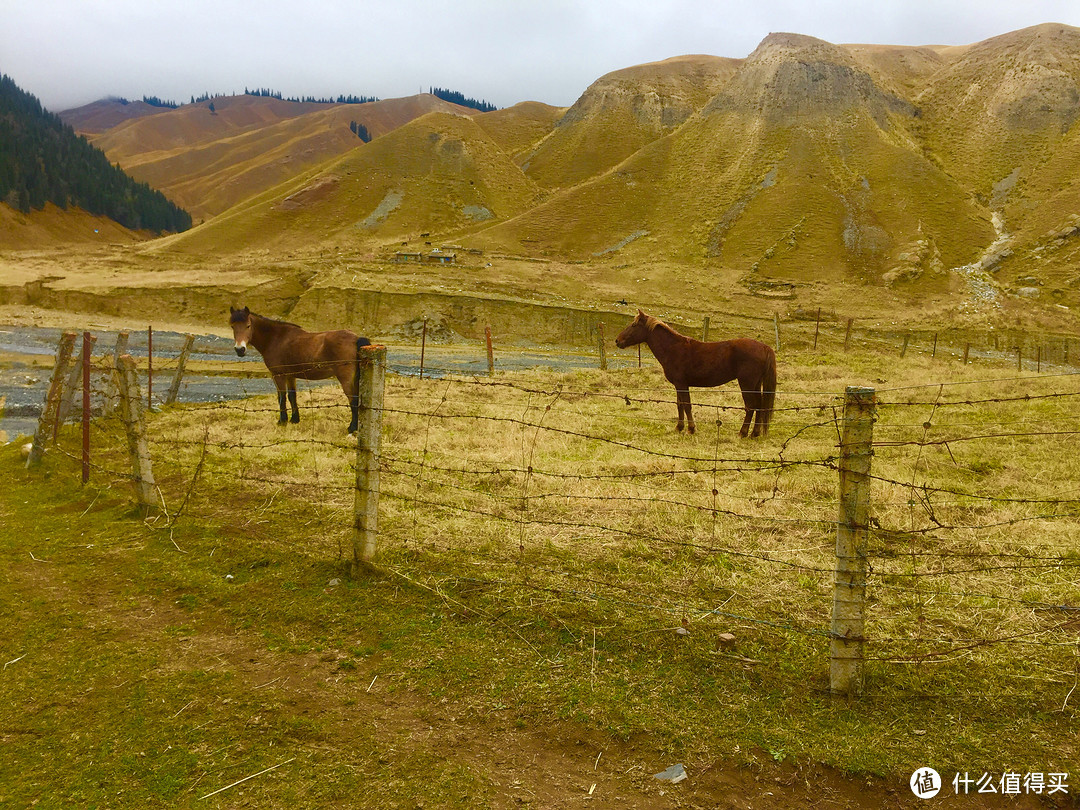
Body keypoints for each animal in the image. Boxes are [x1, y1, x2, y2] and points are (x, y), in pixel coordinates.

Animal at [227, 306, 371, 434]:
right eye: (233, 326)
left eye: (248, 326)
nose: (240, 349)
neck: (275, 338)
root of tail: (356, 339)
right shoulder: (291, 375)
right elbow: (292, 396)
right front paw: (294, 419)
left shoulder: (278, 375)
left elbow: (282, 397)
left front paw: (282, 421)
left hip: (346, 378)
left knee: (353, 400)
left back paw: (352, 428)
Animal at [617, 311, 777, 438]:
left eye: (634, 325)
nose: (617, 341)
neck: (673, 348)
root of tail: (765, 347)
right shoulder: (678, 385)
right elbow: (680, 404)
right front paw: (679, 427)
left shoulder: (681, 383)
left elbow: (687, 405)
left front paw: (691, 429)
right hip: (755, 384)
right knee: (760, 406)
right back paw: (754, 433)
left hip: (746, 383)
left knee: (751, 406)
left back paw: (742, 433)